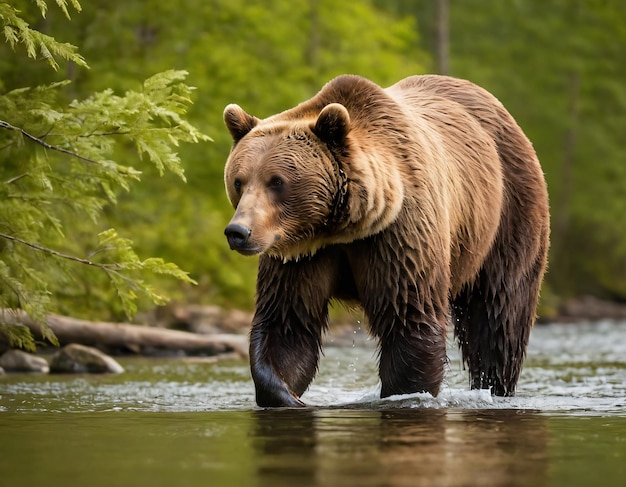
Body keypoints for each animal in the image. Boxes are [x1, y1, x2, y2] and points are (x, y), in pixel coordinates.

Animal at [222, 73, 548, 408]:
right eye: (239, 181)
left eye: (277, 182)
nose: (238, 231)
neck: (343, 226)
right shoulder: (301, 253)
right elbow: (287, 323)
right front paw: (288, 395)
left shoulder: (397, 235)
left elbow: (409, 318)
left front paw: (403, 391)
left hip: (508, 213)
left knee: (499, 317)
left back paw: (495, 386)